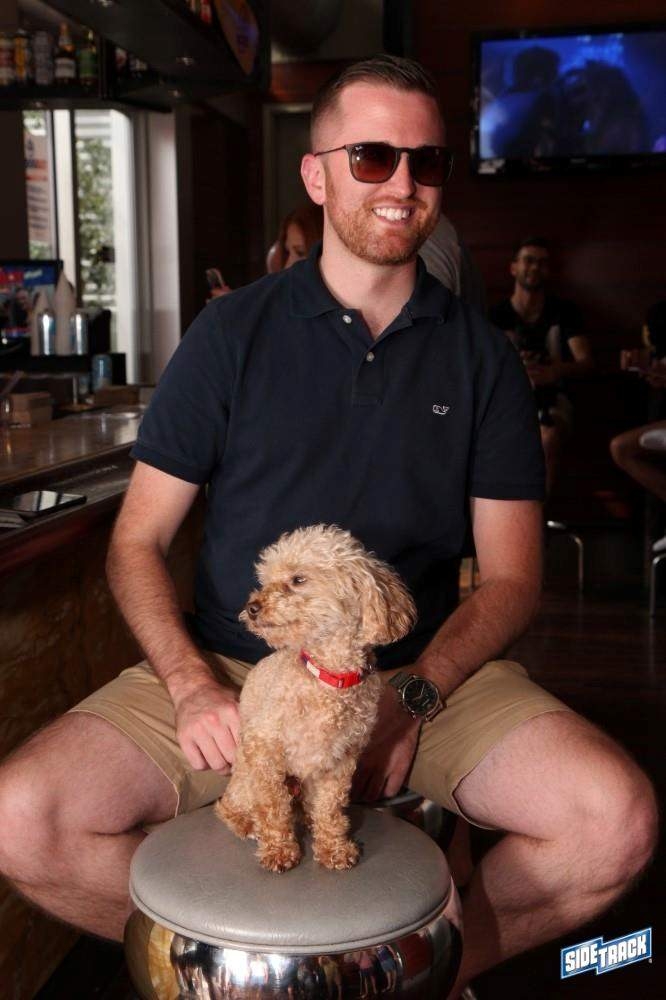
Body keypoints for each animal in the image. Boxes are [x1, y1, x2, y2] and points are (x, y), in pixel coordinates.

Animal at [215, 524, 416, 872]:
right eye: (265, 579)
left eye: (298, 579)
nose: (252, 607)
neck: (327, 678)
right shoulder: (263, 748)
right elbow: (272, 806)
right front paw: (279, 850)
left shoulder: (340, 759)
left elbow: (330, 807)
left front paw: (333, 847)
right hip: (244, 774)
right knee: (230, 806)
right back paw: (247, 823)